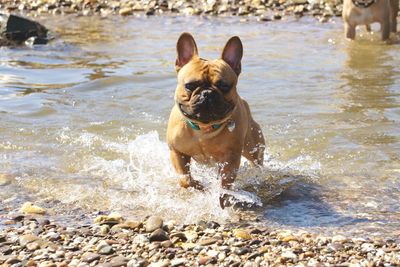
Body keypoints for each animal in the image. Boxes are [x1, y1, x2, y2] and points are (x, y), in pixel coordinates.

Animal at [166, 33, 266, 208]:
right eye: (190, 85)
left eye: (224, 86)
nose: (207, 93)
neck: (203, 128)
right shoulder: (176, 152)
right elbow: (185, 180)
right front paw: (201, 187)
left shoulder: (231, 158)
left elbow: (225, 183)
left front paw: (221, 195)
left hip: (253, 147)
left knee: (257, 163)